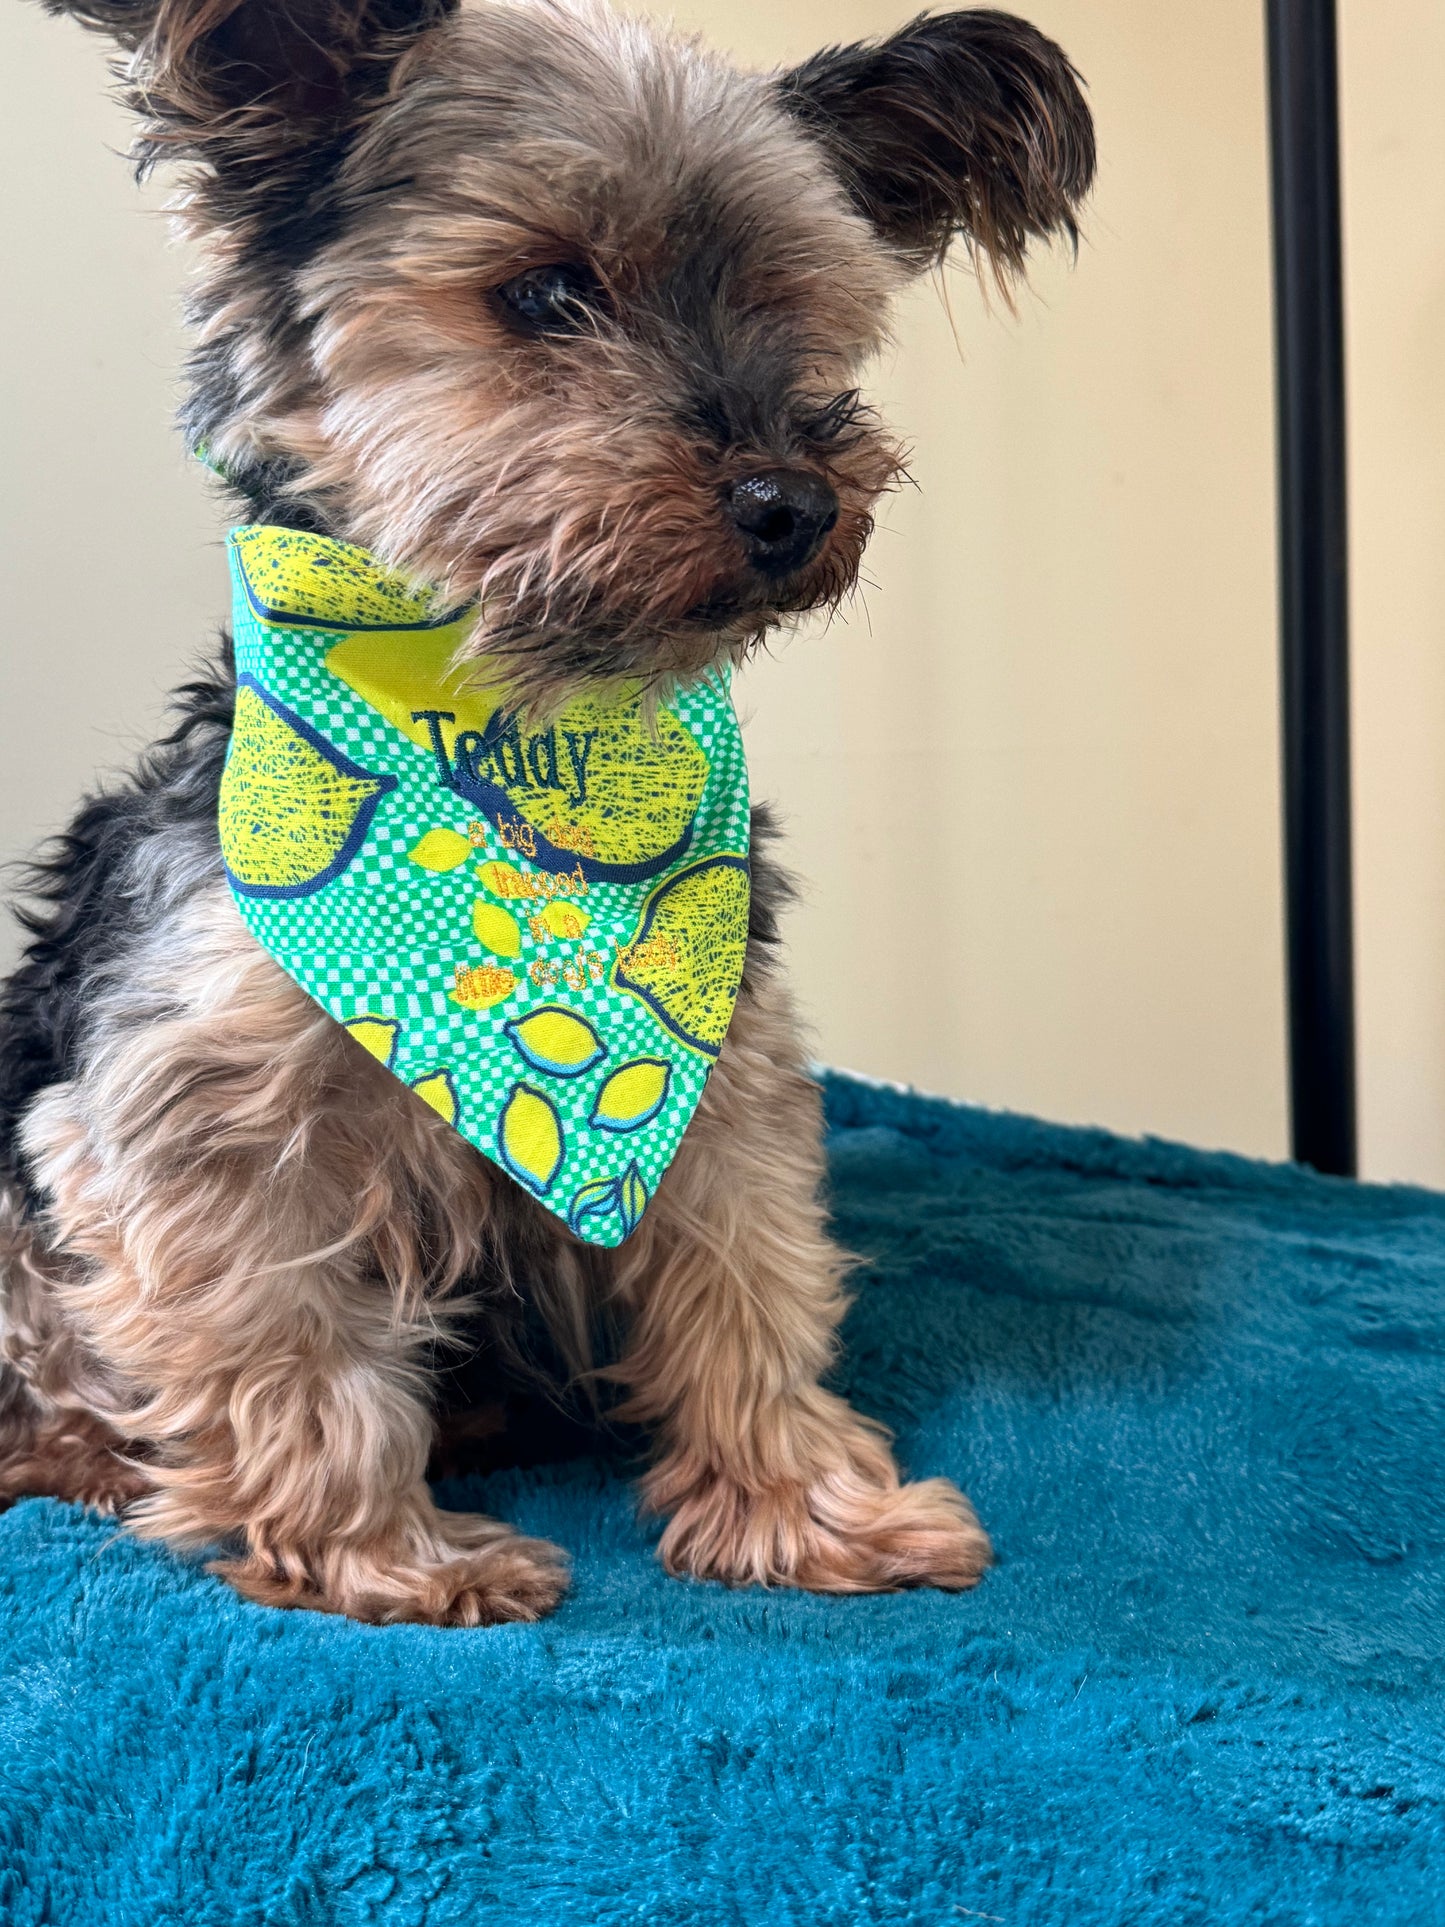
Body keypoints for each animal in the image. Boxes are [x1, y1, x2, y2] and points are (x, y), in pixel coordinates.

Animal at [0, 0, 1086, 1618]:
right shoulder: (188, 1110)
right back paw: (80, 1450)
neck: (522, 740)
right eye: (543, 292)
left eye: (782, 300)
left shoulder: (719, 1067)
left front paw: (803, 1511)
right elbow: (290, 1356)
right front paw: (381, 1558)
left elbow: (745, 1288)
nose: (788, 500)